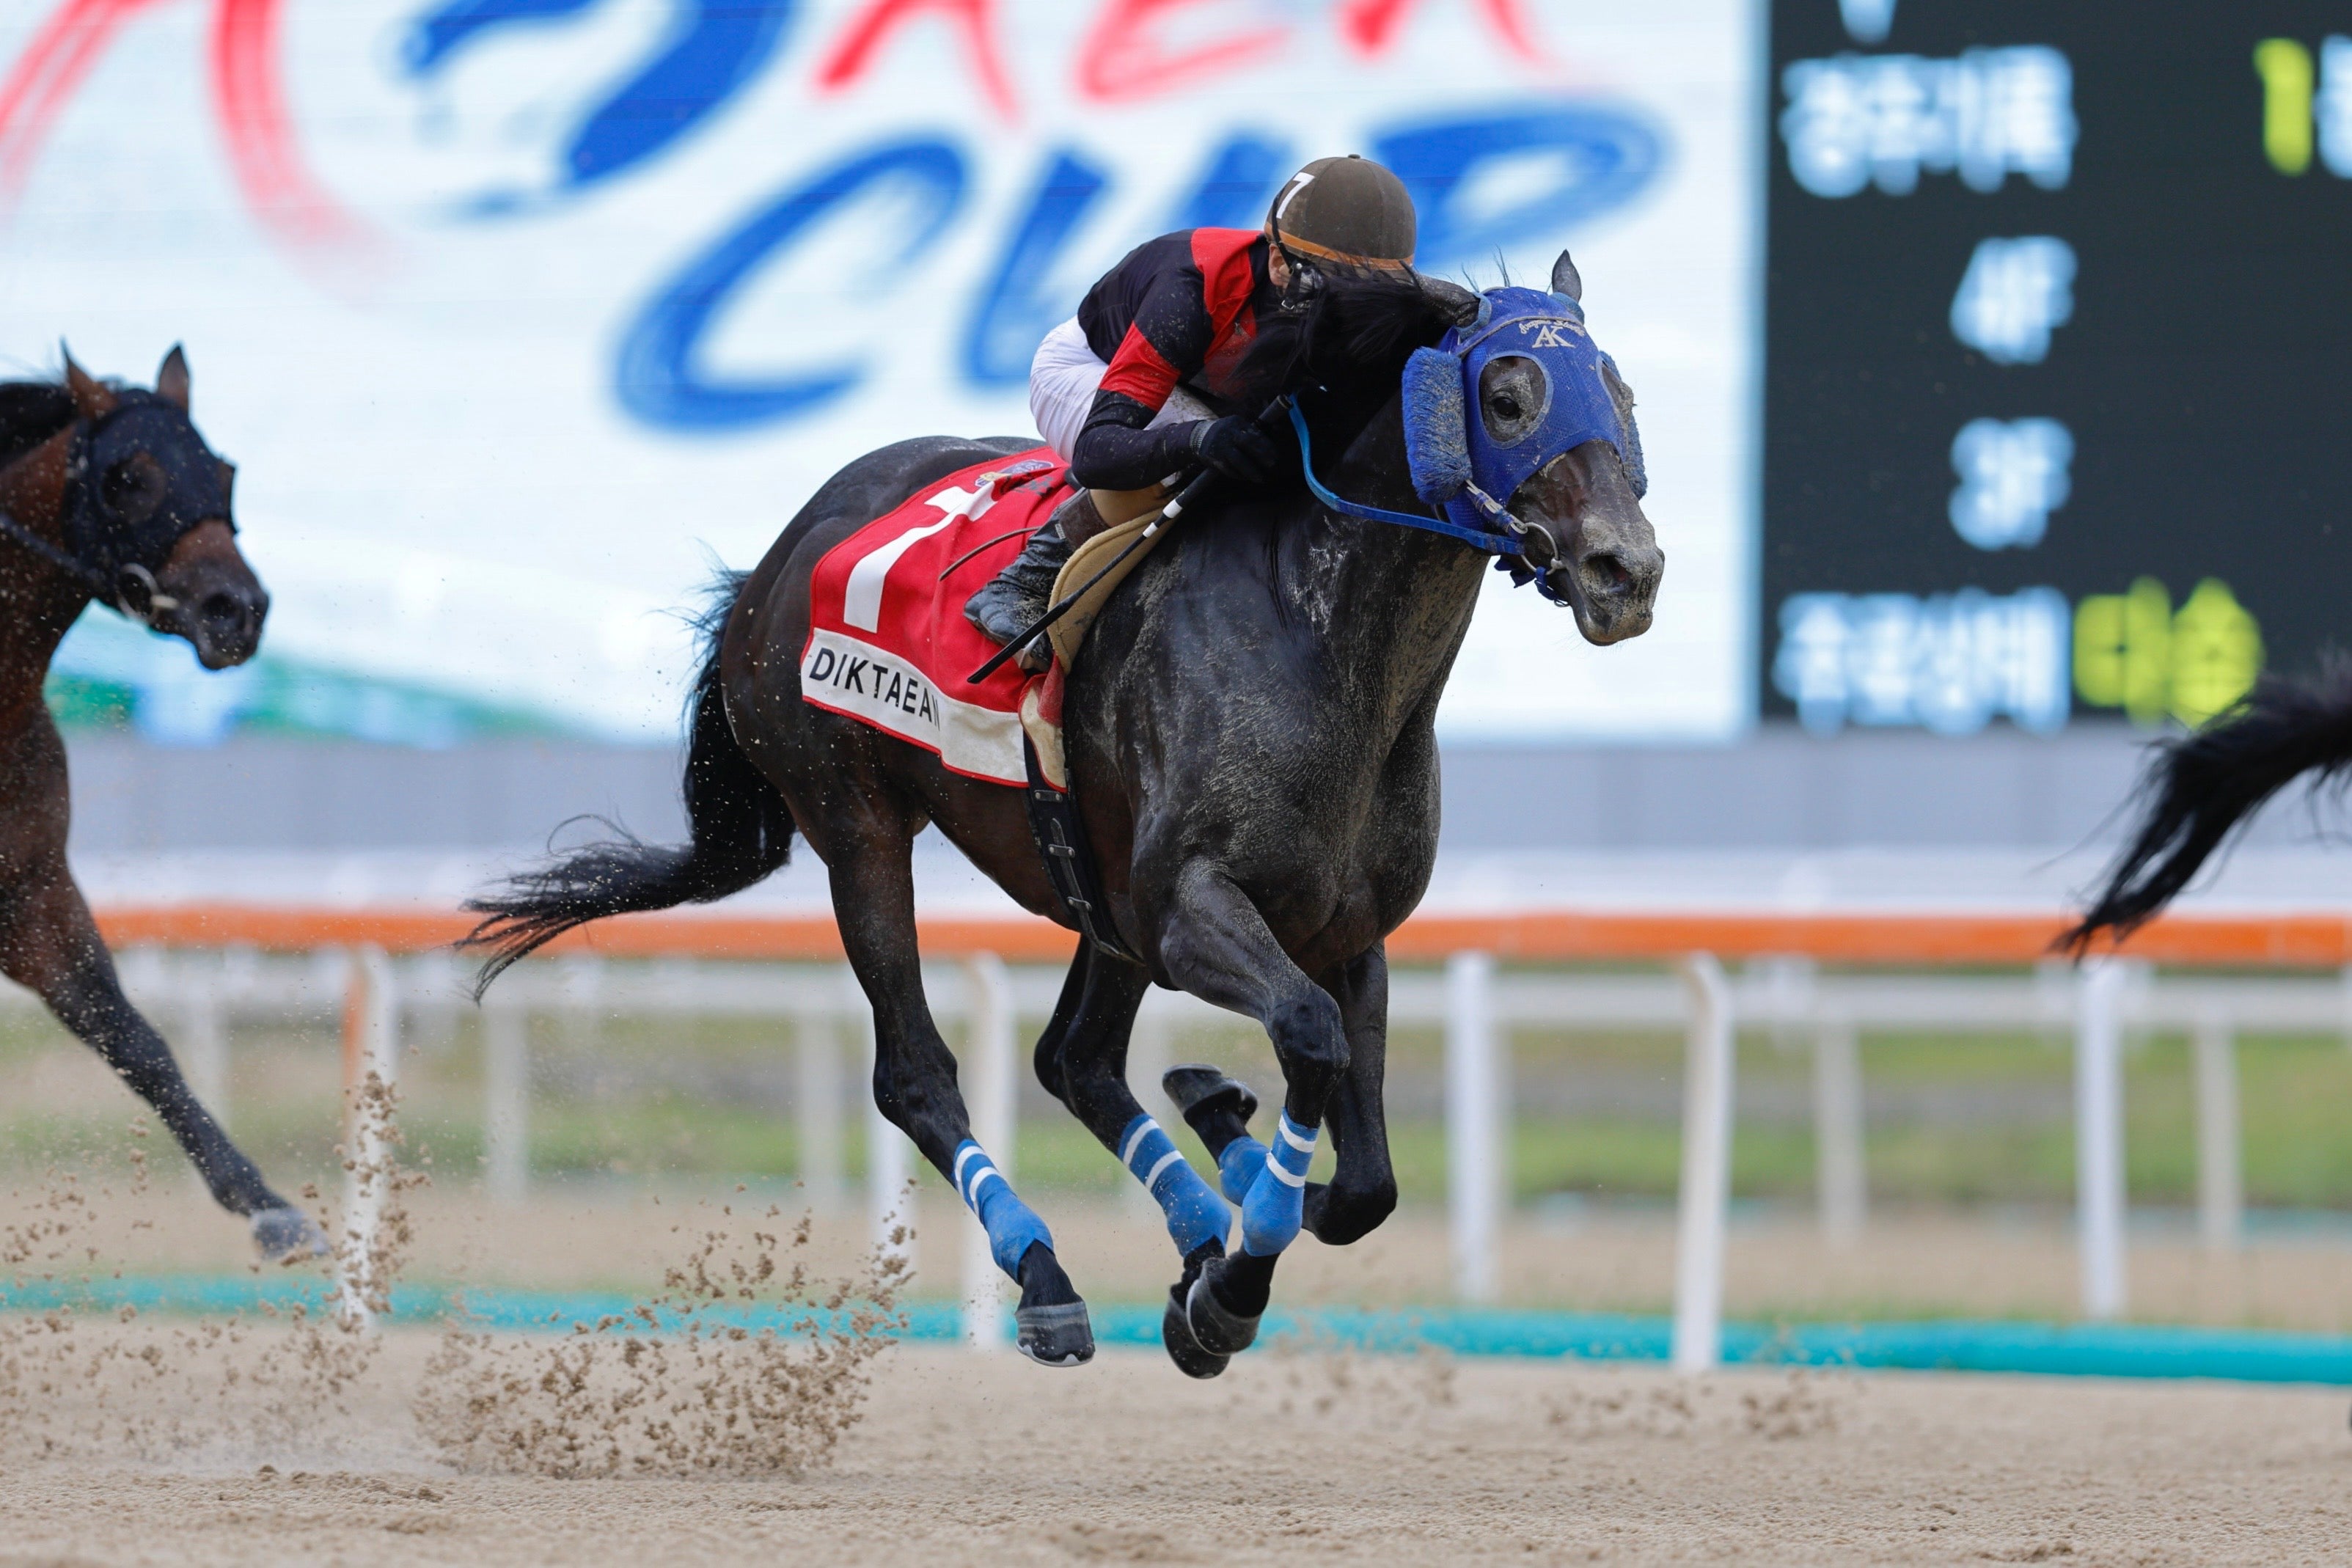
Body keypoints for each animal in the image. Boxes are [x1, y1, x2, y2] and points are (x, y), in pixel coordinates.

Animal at [0, 348, 318, 1258]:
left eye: (224, 470)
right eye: (129, 477)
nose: (236, 610)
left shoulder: (34, 896)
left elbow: (135, 1041)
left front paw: (271, 1207)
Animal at [466, 252, 1663, 1374]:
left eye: (1617, 390)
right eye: (1507, 395)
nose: (1628, 568)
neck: (1319, 643)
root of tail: (774, 559)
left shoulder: (1344, 927)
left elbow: (1365, 1177)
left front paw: (1238, 1208)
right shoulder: (1189, 907)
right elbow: (1310, 1040)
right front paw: (1237, 1266)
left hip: (1097, 890)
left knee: (1072, 1059)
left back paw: (1198, 1217)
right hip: (859, 822)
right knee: (915, 1071)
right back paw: (1051, 1274)